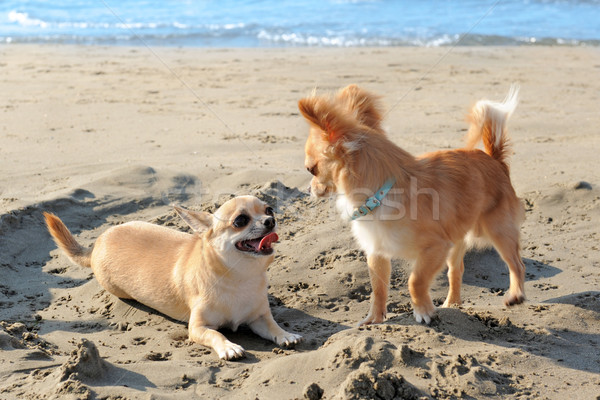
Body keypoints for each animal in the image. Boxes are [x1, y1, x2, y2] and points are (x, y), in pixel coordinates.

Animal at [43, 196, 300, 360]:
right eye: (240, 221)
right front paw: (229, 347)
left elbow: (273, 326)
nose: (270, 221)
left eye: (269, 210)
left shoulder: (259, 318)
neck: (239, 277)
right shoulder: (198, 327)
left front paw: (286, 334)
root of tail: (97, 243)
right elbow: (216, 333)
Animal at [300, 84, 524, 324]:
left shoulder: (436, 247)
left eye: (311, 170)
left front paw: (423, 311)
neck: (382, 193)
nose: (307, 190)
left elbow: (415, 281)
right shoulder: (377, 252)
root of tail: (495, 161)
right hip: (457, 240)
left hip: (498, 230)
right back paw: (452, 303)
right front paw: (374, 319)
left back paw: (516, 295)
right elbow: (378, 288)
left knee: (516, 263)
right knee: (456, 270)